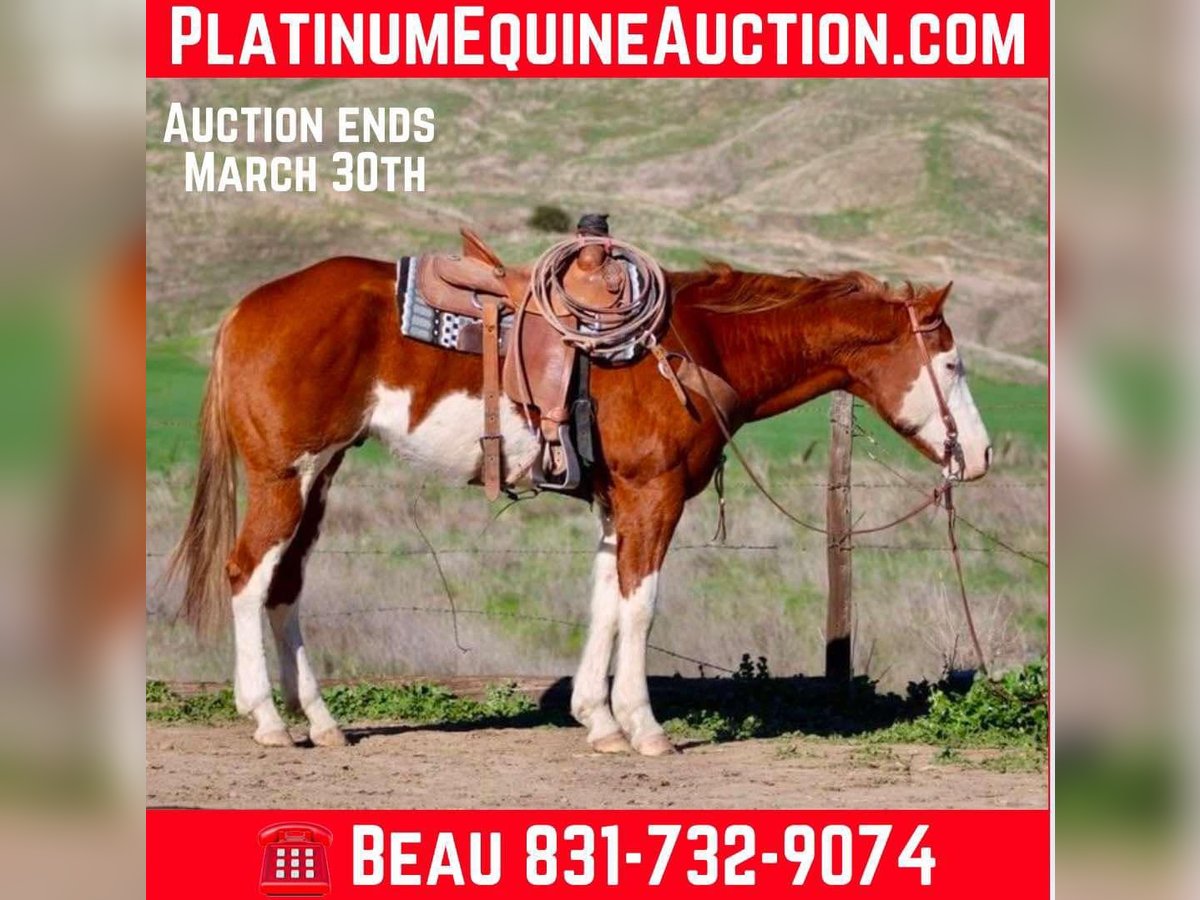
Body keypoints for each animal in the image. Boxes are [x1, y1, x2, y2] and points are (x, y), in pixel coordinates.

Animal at [165, 255, 991, 756]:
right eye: (951, 363)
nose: (980, 456)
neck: (696, 347)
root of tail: (245, 309)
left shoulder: (616, 503)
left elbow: (605, 602)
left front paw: (597, 720)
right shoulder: (654, 495)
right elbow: (641, 606)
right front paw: (644, 728)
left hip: (320, 476)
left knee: (285, 586)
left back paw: (322, 722)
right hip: (286, 476)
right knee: (247, 576)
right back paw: (267, 719)